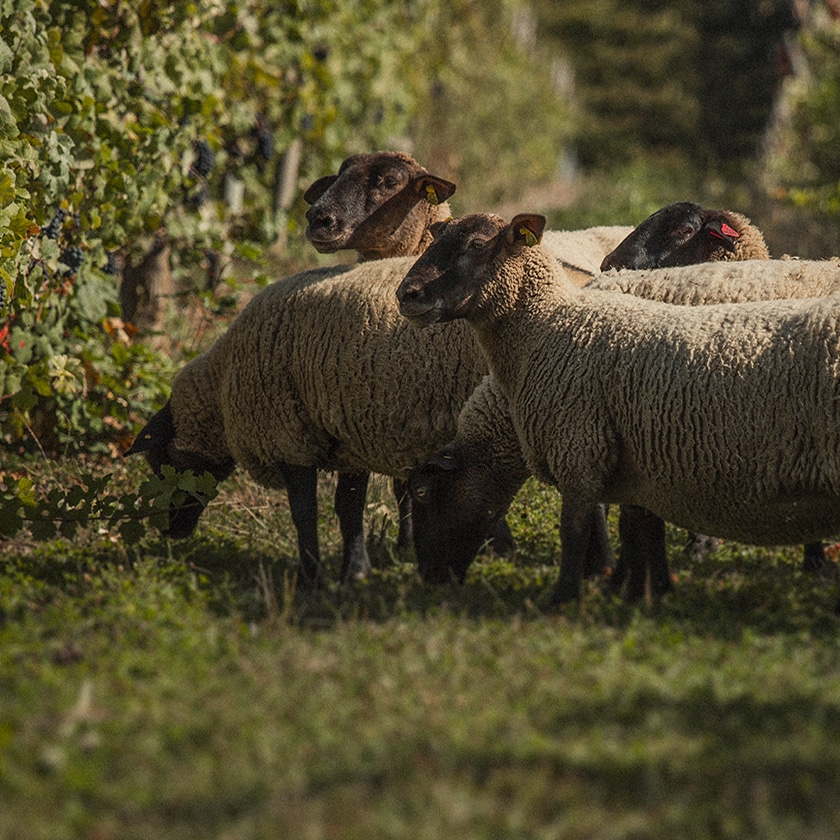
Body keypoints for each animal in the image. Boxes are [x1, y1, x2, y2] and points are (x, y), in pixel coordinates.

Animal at [396, 210, 840, 604]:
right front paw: (643, 590)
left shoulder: (582, 446)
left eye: (476, 244)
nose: (407, 294)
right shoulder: (638, 461)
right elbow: (639, 529)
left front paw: (570, 597)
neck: (549, 325)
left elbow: (577, 529)